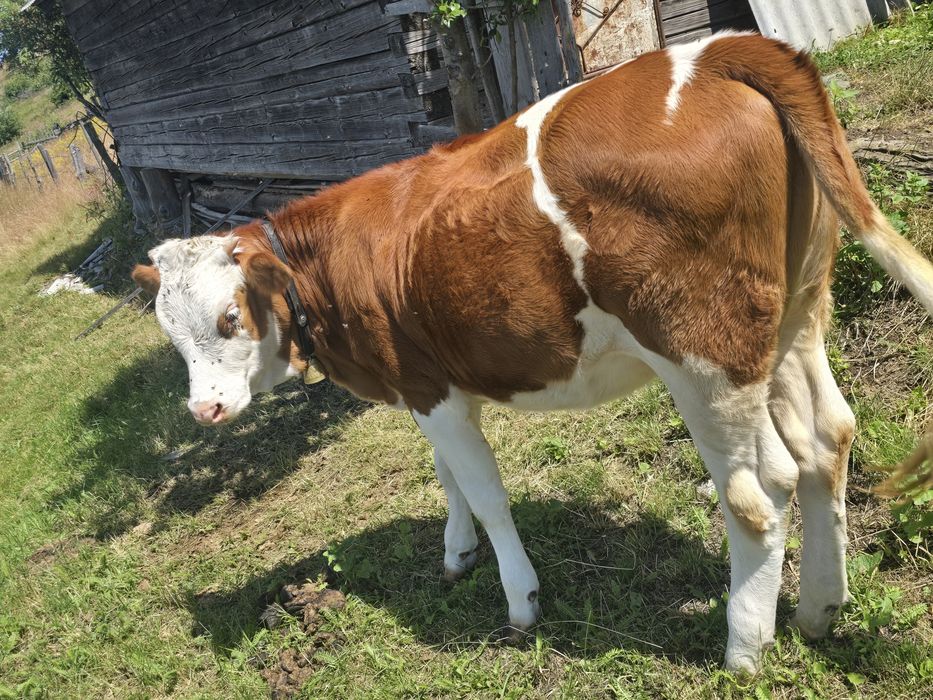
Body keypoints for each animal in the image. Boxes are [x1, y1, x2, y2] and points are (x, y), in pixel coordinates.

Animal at [132, 33, 933, 676]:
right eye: (171, 334)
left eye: (228, 316)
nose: (204, 409)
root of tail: (716, 52)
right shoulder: (429, 385)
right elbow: (447, 476)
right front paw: (456, 554)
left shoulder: (427, 389)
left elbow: (486, 493)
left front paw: (520, 599)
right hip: (794, 312)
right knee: (826, 441)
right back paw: (818, 610)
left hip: (701, 350)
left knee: (759, 492)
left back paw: (744, 648)